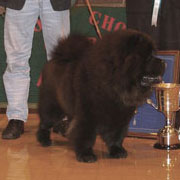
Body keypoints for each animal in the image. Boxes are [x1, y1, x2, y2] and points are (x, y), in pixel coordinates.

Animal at [36, 29, 166, 162]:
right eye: (148, 57)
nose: (163, 61)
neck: (114, 84)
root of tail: (52, 61)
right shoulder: (87, 116)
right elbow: (85, 136)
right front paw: (86, 155)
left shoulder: (119, 117)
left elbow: (116, 136)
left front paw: (117, 151)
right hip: (52, 107)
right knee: (45, 123)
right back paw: (44, 140)